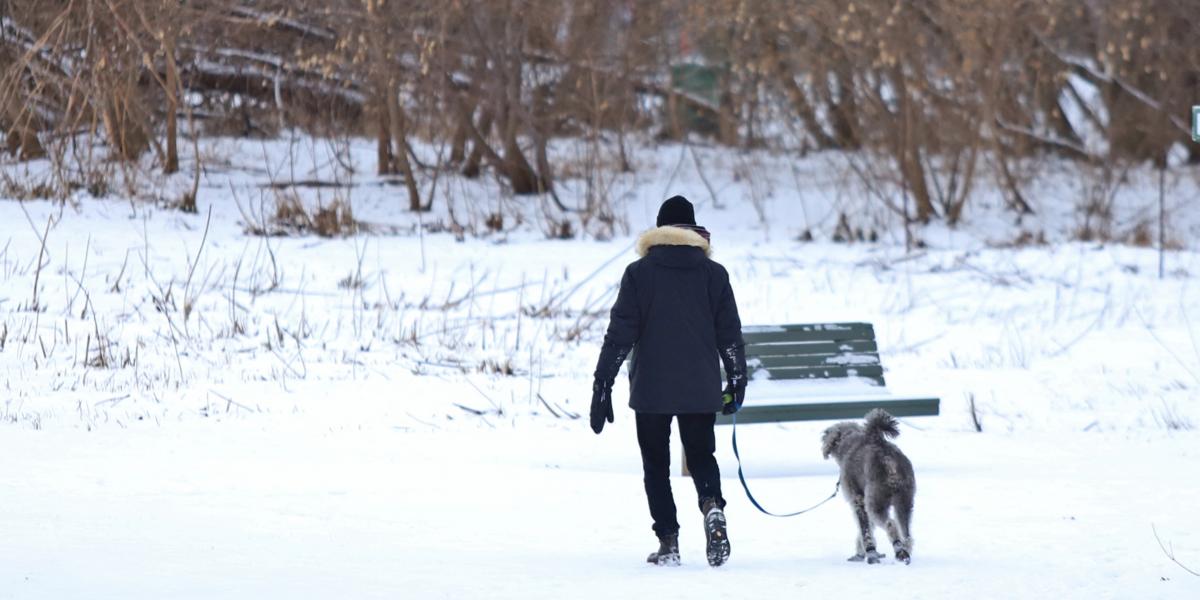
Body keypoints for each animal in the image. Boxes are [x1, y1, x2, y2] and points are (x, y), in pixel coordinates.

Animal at [820, 410, 912, 564]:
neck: (848, 444)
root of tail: (889, 461)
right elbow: (866, 529)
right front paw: (862, 553)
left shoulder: (858, 500)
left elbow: (865, 531)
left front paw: (870, 554)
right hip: (904, 503)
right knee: (907, 534)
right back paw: (904, 553)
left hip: (876, 503)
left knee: (891, 525)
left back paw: (898, 549)